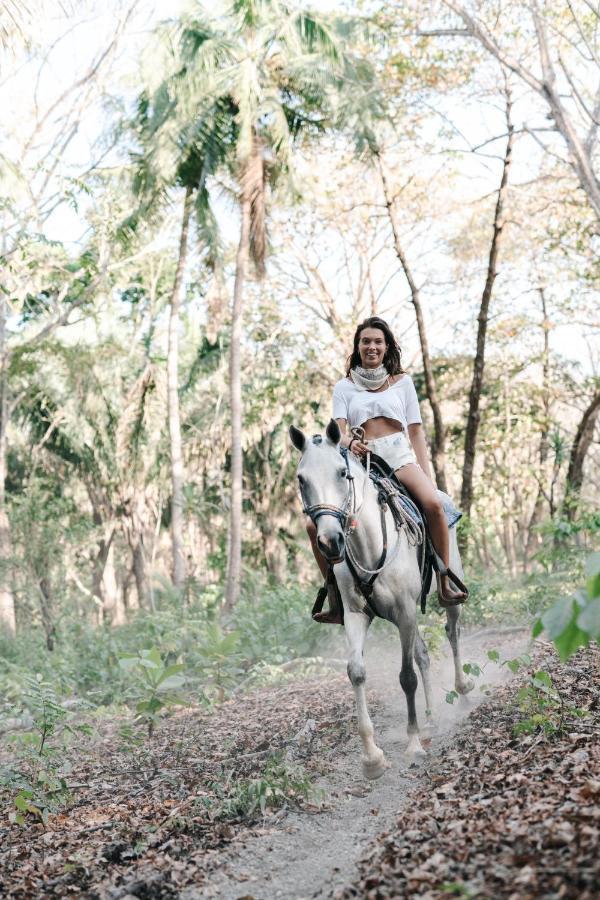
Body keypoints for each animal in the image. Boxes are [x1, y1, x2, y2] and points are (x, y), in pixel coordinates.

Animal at [290, 422, 474, 780]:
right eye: (301, 479)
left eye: (342, 472)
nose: (330, 541)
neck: (367, 545)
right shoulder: (356, 615)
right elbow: (357, 672)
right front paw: (372, 757)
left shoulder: (404, 612)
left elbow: (406, 677)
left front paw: (413, 745)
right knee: (423, 655)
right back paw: (431, 719)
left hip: (447, 595)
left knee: (452, 630)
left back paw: (462, 689)